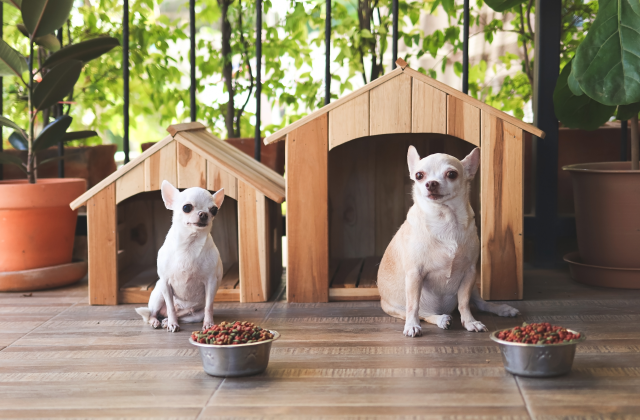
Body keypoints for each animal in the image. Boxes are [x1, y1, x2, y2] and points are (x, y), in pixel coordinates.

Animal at [136, 182, 225, 334]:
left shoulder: (211, 283)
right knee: (153, 314)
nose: (204, 213)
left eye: (214, 210)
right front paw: (173, 324)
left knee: (183, 316)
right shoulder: (165, 283)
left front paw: (208, 324)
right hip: (159, 295)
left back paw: (166, 321)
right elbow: (171, 307)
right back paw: (158, 321)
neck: (189, 244)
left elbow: (209, 307)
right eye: (186, 207)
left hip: (195, 315)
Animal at [376, 148, 520, 338]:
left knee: (481, 303)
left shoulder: (469, 273)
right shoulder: (415, 274)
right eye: (419, 175)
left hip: (474, 287)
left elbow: (464, 303)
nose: (431, 183)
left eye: (451, 174)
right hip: (397, 308)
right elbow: (413, 306)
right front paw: (412, 326)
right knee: (423, 313)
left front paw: (470, 322)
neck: (445, 219)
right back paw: (441, 319)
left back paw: (503, 309)